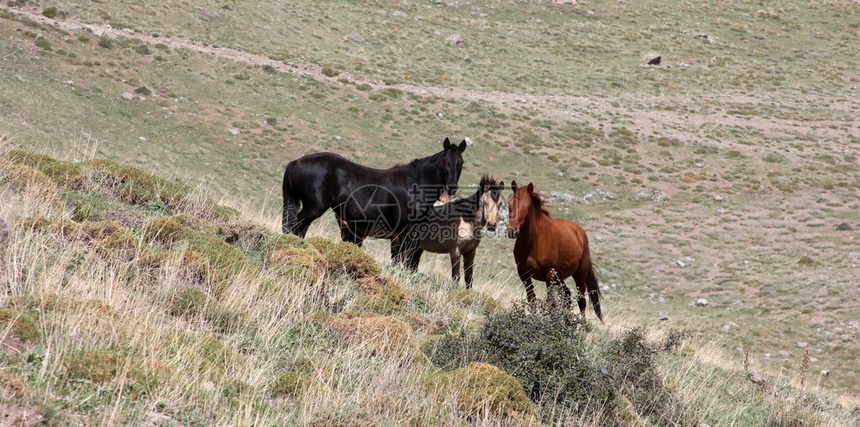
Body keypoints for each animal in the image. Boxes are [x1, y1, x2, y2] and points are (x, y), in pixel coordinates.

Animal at [282, 139, 466, 270]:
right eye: (445, 162)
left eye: (461, 162)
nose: (452, 187)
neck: (416, 184)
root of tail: (295, 163)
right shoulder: (406, 231)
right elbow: (404, 261)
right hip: (312, 209)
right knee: (295, 227)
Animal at [504, 182, 604, 322]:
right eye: (510, 203)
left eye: (528, 206)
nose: (512, 230)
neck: (534, 242)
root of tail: (579, 231)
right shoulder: (523, 273)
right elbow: (532, 299)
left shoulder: (549, 274)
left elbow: (551, 303)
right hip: (559, 277)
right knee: (567, 295)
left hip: (579, 275)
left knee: (581, 303)